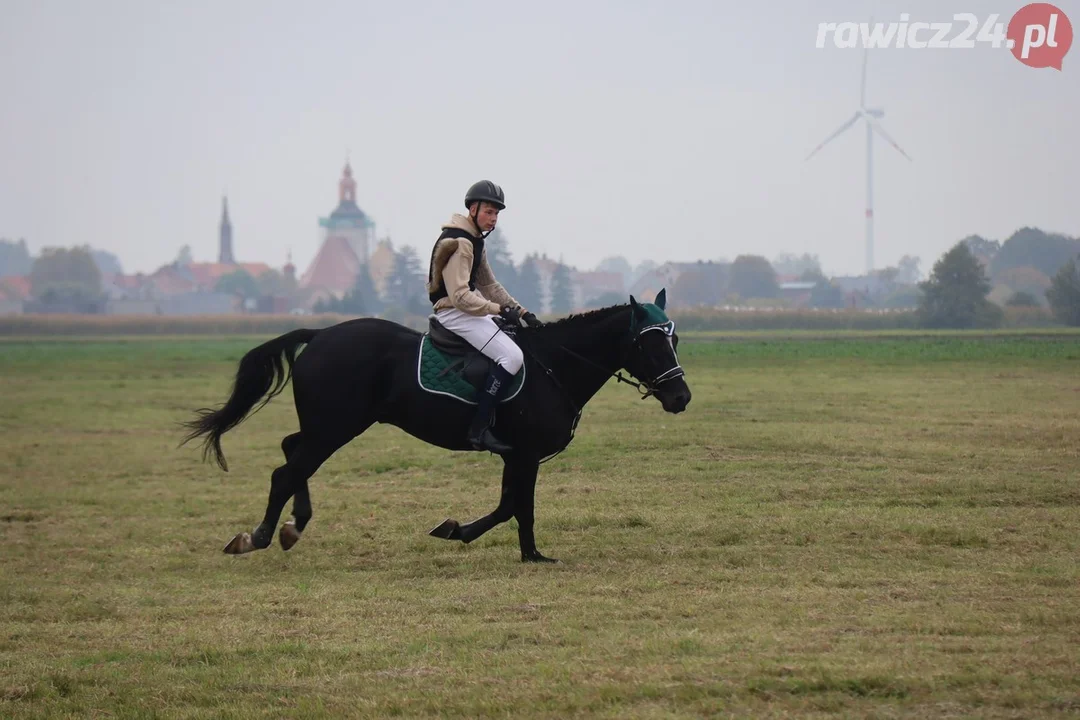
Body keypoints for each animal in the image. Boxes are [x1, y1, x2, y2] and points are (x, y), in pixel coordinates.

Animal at [183, 289, 691, 561]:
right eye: (647, 344)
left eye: (675, 340)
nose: (681, 397)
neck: (554, 365)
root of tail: (322, 334)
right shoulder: (525, 454)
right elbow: (516, 507)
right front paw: (519, 551)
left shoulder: (515, 456)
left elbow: (509, 505)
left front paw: (503, 545)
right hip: (336, 427)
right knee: (287, 470)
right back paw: (259, 537)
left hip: (328, 426)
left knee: (293, 454)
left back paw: (294, 526)